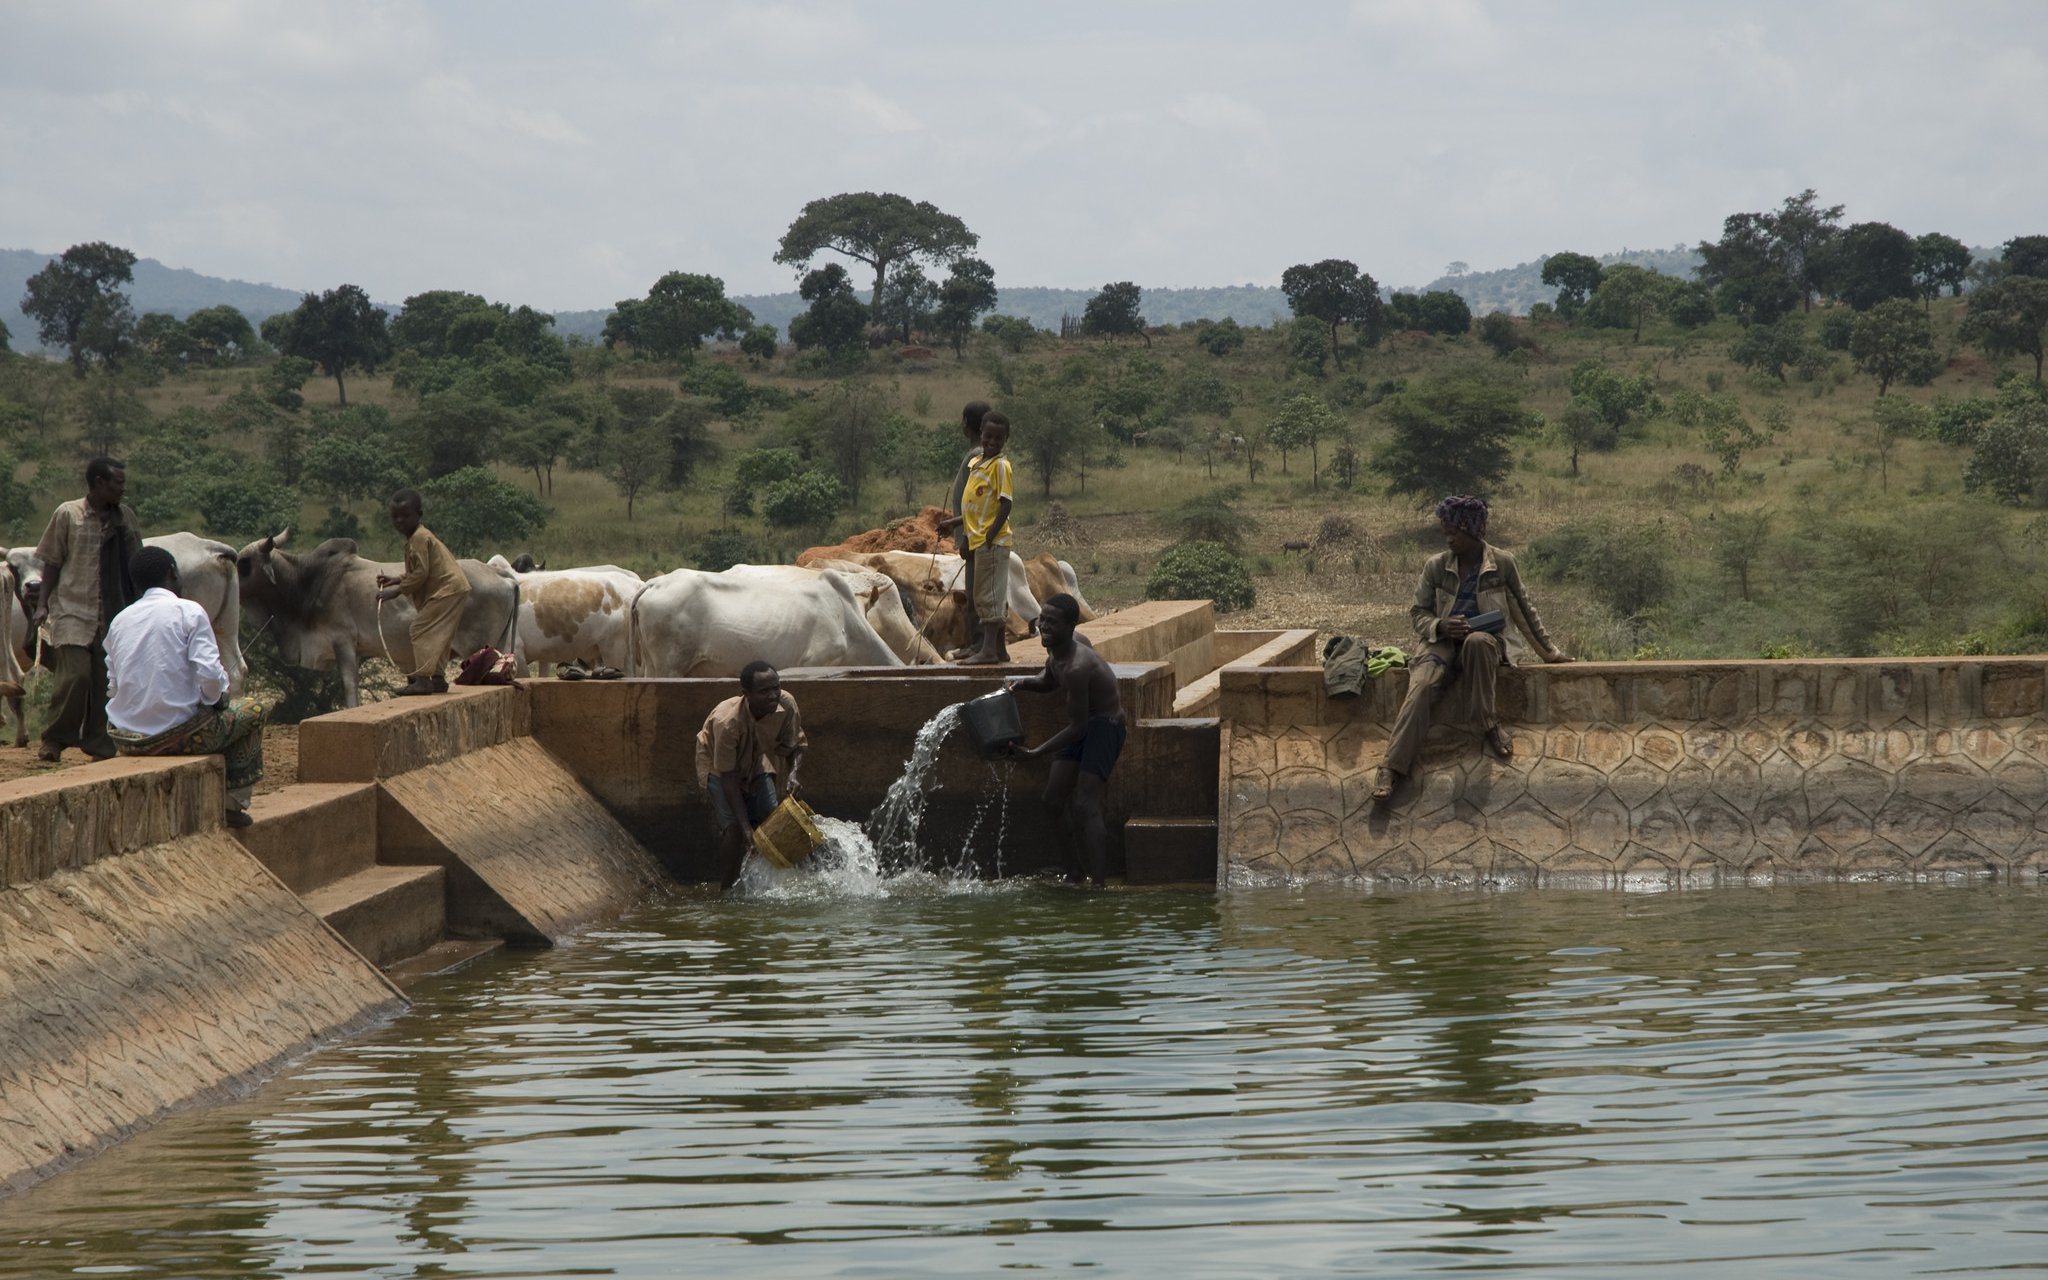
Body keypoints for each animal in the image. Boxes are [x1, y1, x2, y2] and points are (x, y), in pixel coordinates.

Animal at [234, 528, 524, 708]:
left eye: (244, 563)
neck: (308, 581)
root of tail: (502, 575)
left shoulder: (343, 643)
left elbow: (350, 687)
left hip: (477, 646)